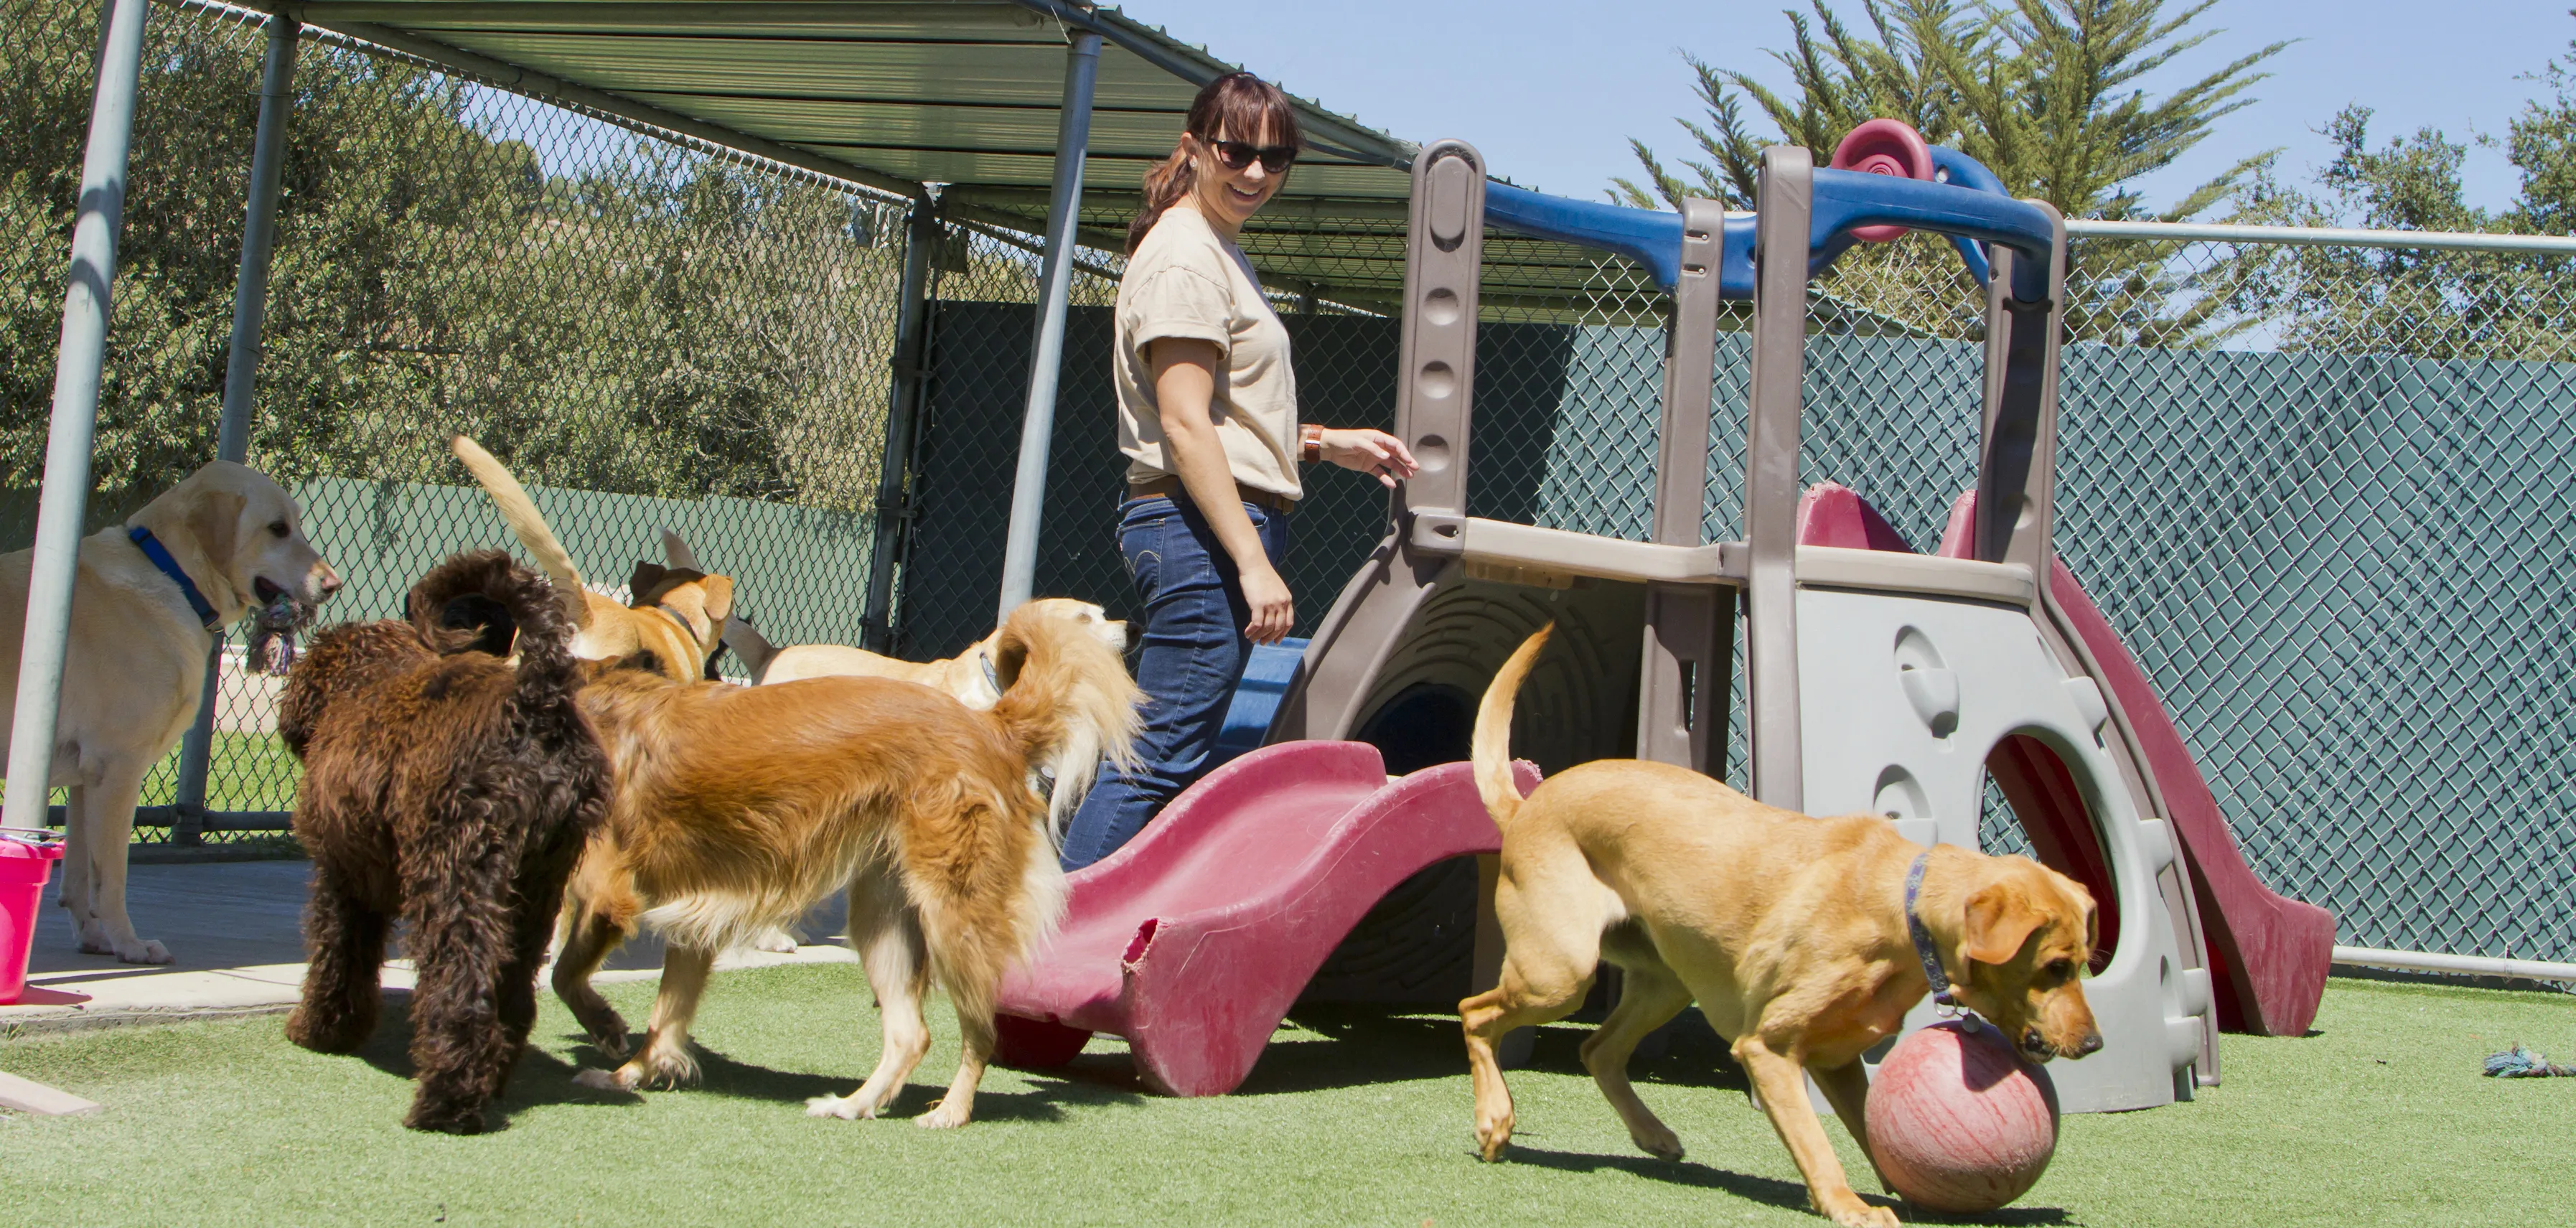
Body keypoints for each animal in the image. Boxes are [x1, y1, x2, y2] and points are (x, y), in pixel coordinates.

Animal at [278, 550, 613, 1133]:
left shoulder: (342, 876)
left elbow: (336, 956)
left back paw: (445, 1102)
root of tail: (535, 701)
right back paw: (492, 1080)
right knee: (513, 991)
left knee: (461, 988)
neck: (365, 680)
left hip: (455, 874)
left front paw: (321, 1030)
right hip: (536, 885)